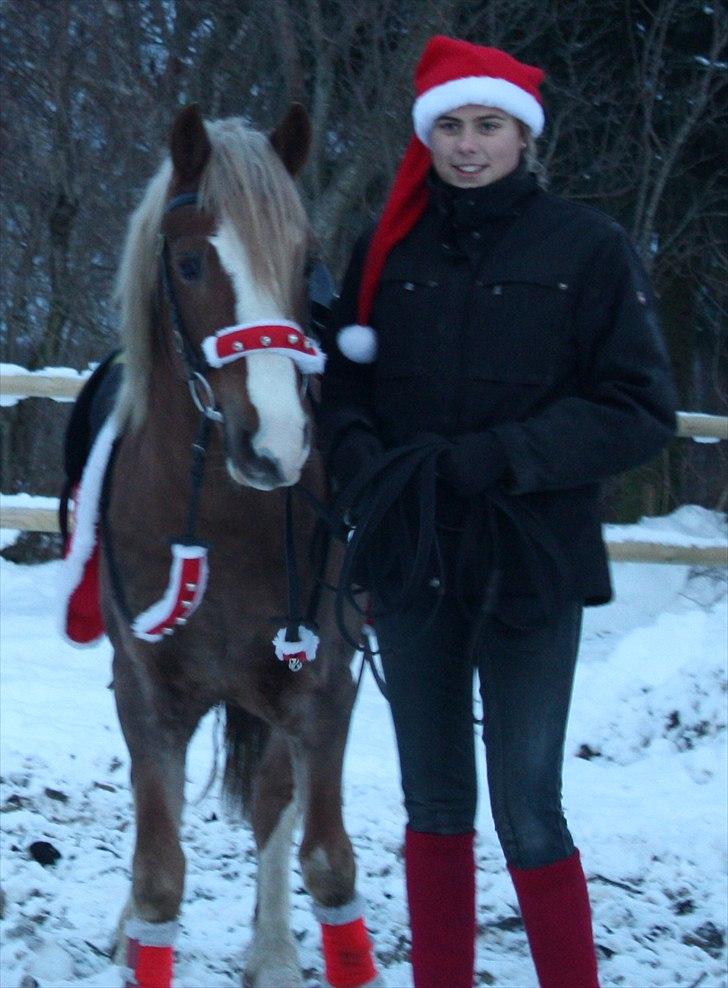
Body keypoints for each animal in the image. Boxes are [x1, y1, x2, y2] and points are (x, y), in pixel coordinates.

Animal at [106, 106, 382, 988]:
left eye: (306, 260)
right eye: (191, 261)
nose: (277, 445)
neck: (224, 525)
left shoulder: (323, 693)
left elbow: (326, 861)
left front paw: (282, 950)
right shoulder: (148, 696)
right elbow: (158, 874)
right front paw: (139, 931)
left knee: (271, 805)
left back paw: (273, 950)